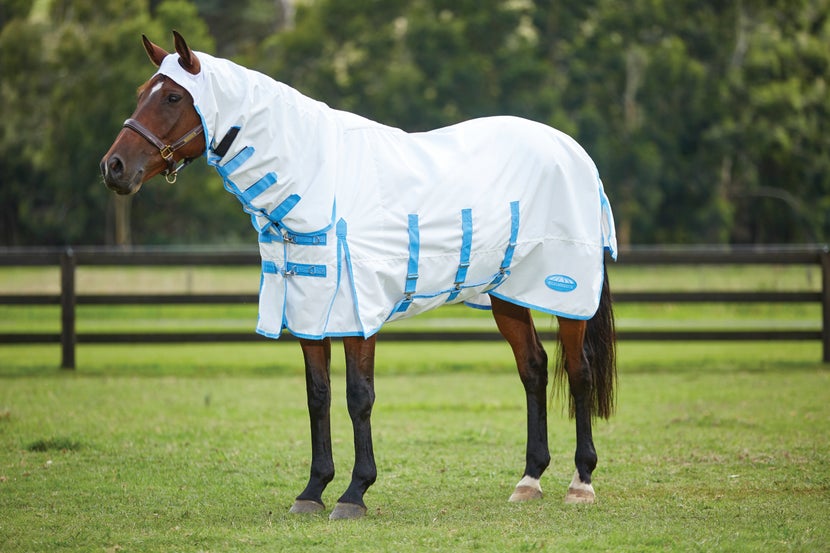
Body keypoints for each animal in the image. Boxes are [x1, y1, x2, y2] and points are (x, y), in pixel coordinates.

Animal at [101, 32, 616, 520]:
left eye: (172, 97)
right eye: (142, 91)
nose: (114, 167)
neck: (317, 179)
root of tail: (576, 153)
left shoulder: (356, 313)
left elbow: (358, 396)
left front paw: (354, 493)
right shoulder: (309, 311)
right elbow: (318, 396)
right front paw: (312, 491)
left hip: (566, 296)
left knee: (579, 372)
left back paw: (581, 482)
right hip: (508, 294)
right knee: (533, 368)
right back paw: (529, 480)